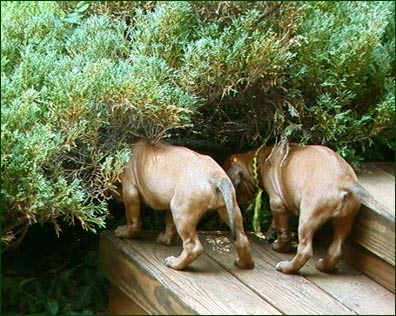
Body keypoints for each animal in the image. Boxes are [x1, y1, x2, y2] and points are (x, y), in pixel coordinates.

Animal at [114, 139, 254, 270]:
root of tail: (216, 177)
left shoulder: (130, 192)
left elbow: (133, 221)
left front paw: (124, 233)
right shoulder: (170, 204)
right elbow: (169, 224)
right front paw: (166, 240)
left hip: (182, 214)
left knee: (192, 246)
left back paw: (175, 263)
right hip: (229, 208)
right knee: (242, 239)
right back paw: (244, 263)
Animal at [224, 143, 388, 274]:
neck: (262, 159)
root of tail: (344, 180)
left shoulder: (277, 202)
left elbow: (283, 231)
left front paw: (280, 247)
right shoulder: (285, 203)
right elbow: (277, 223)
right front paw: (271, 234)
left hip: (308, 217)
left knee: (305, 251)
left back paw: (286, 268)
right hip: (345, 220)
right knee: (336, 250)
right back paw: (324, 266)